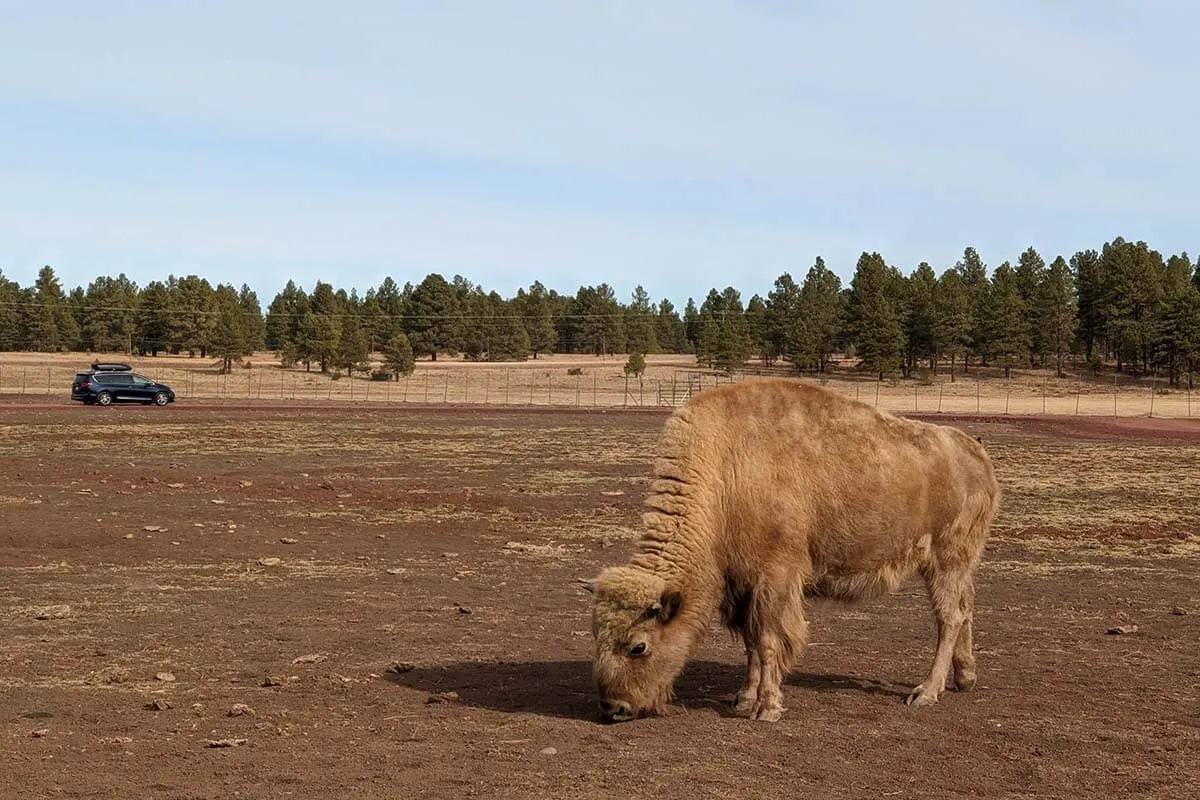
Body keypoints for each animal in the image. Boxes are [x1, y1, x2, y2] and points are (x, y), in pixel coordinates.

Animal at [585, 379, 998, 724]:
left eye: (638, 646)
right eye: (596, 636)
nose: (614, 708)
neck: (724, 473)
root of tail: (975, 451)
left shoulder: (775, 578)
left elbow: (769, 642)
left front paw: (766, 709)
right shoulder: (744, 587)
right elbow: (751, 644)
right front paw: (744, 698)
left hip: (946, 559)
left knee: (949, 618)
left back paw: (925, 692)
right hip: (958, 564)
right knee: (966, 607)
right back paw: (965, 678)